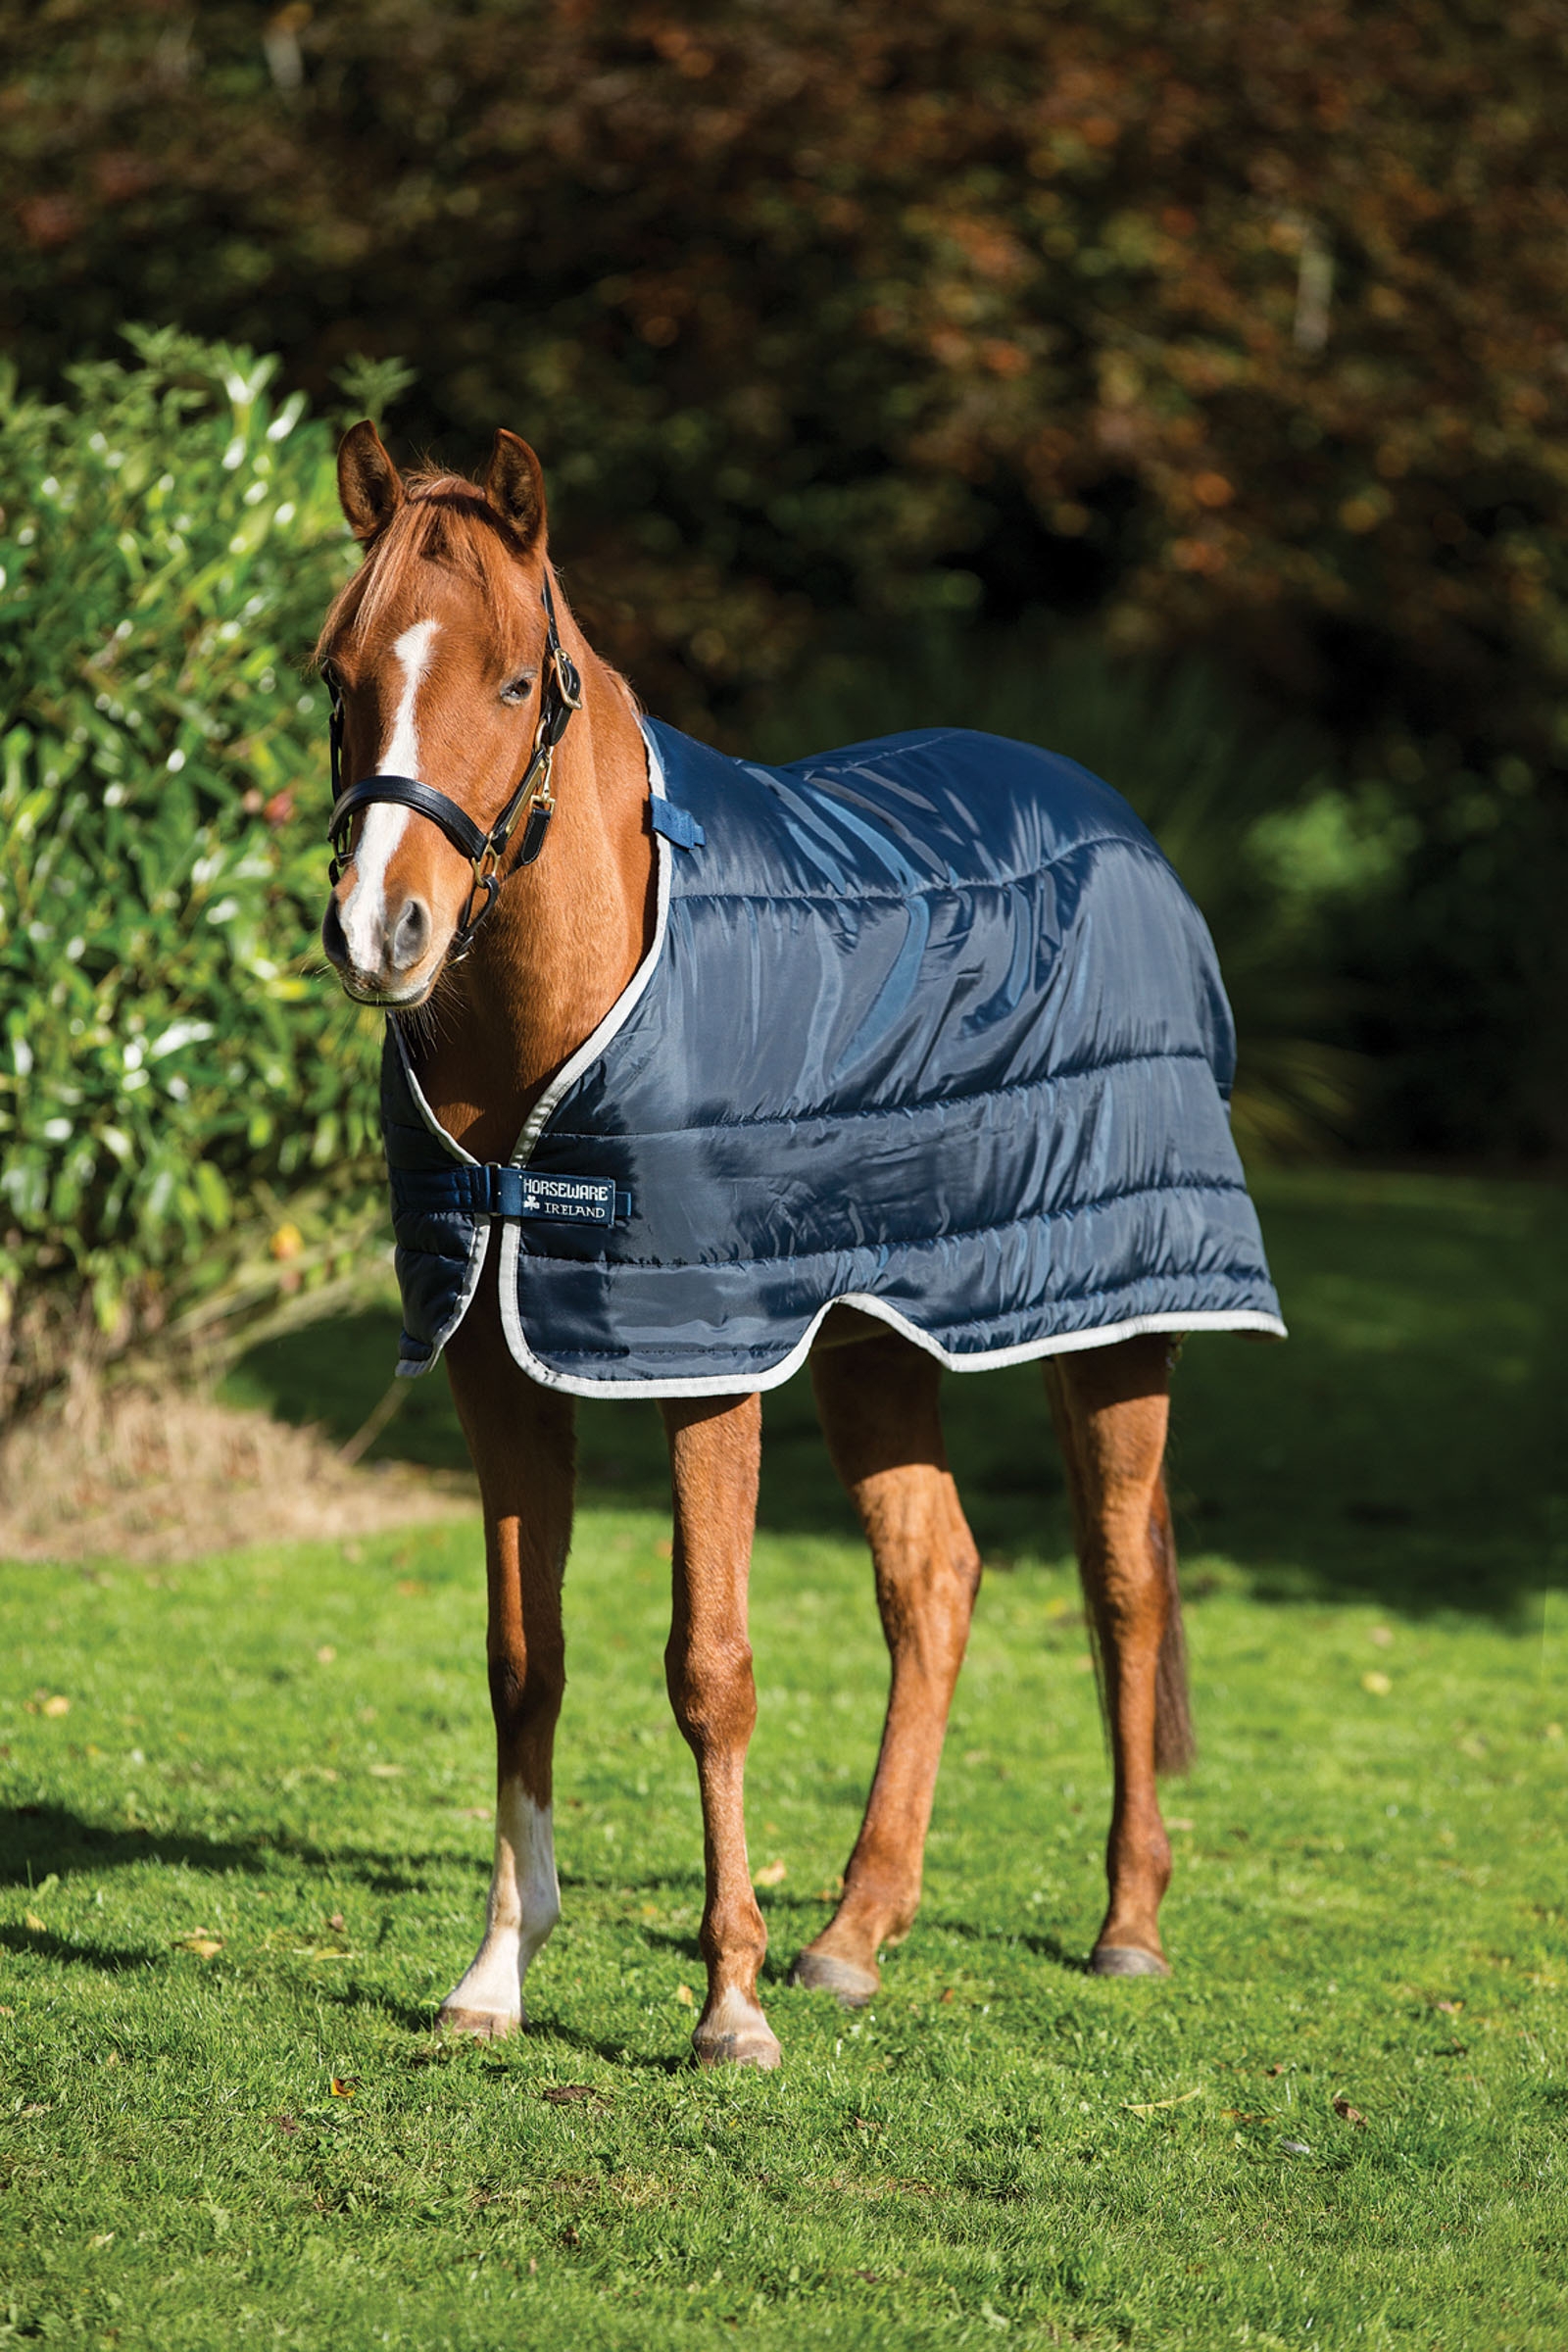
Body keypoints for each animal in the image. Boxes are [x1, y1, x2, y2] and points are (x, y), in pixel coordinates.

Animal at [315, 421, 1283, 2069]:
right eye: (339, 677)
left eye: (511, 683)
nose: (384, 932)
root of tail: (1118, 824)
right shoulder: (498, 1366)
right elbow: (524, 1663)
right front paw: (495, 1979)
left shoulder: (706, 1366)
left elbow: (710, 1670)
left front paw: (727, 2007)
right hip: (875, 1340)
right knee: (935, 1582)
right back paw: (855, 1933)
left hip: (1115, 1322)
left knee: (1121, 1588)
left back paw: (1126, 1925)